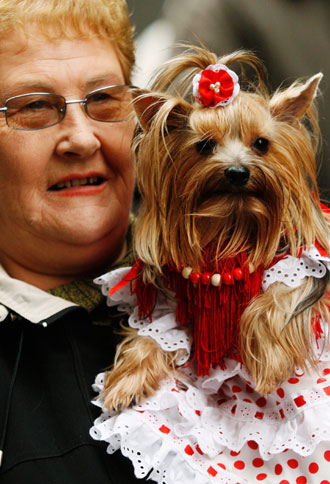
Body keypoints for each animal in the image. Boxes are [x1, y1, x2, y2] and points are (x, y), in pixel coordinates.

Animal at [101, 47, 330, 412]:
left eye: (261, 143)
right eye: (205, 146)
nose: (237, 172)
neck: (230, 223)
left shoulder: (304, 259)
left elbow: (280, 296)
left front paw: (269, 362)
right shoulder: (171, 298)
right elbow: (153, 335)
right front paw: (128, 380)